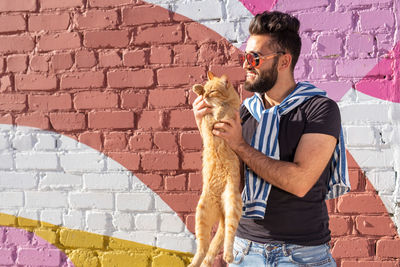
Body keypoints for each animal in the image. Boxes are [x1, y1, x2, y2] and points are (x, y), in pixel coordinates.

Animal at [189, 71, 242, 267]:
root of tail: (220, 208)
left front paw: (219, 109)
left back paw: (228, 255)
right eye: (205, 90)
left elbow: (225, 107)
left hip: (232, 204)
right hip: (202, 215)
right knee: (203, 248)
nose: (204, 95)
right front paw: (196, 89)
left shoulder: (233, 111)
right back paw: (194, 263)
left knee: (229, 237)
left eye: (212, 91)